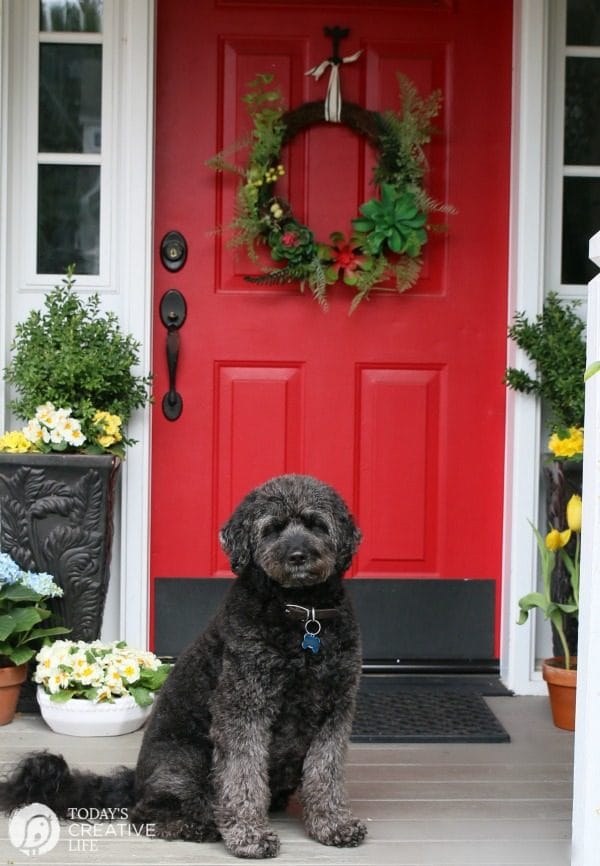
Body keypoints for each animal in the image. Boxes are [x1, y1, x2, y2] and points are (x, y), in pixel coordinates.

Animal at [0, 476, 366, 852]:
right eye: (272, 529)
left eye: (316, 524)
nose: (297, 556)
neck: (302, 614)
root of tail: (136, 781)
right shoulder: (243, 707)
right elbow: (242, 774)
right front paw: (248, 835)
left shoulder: (335, 712)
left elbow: (326, 772)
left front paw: (332, 825)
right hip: (184, 759)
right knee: (147, 814)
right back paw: (198, 825)